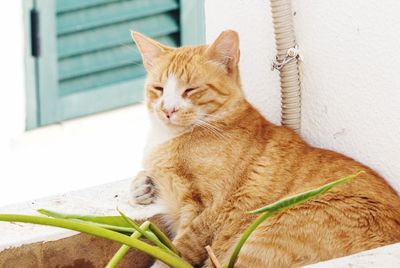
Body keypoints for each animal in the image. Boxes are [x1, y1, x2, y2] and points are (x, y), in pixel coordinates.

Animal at [130, 30, 398, 266]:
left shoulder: (210, 207)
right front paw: (142, 186)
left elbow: (178, 250)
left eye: (191, 90)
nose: (168, 109)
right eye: (159, 89)